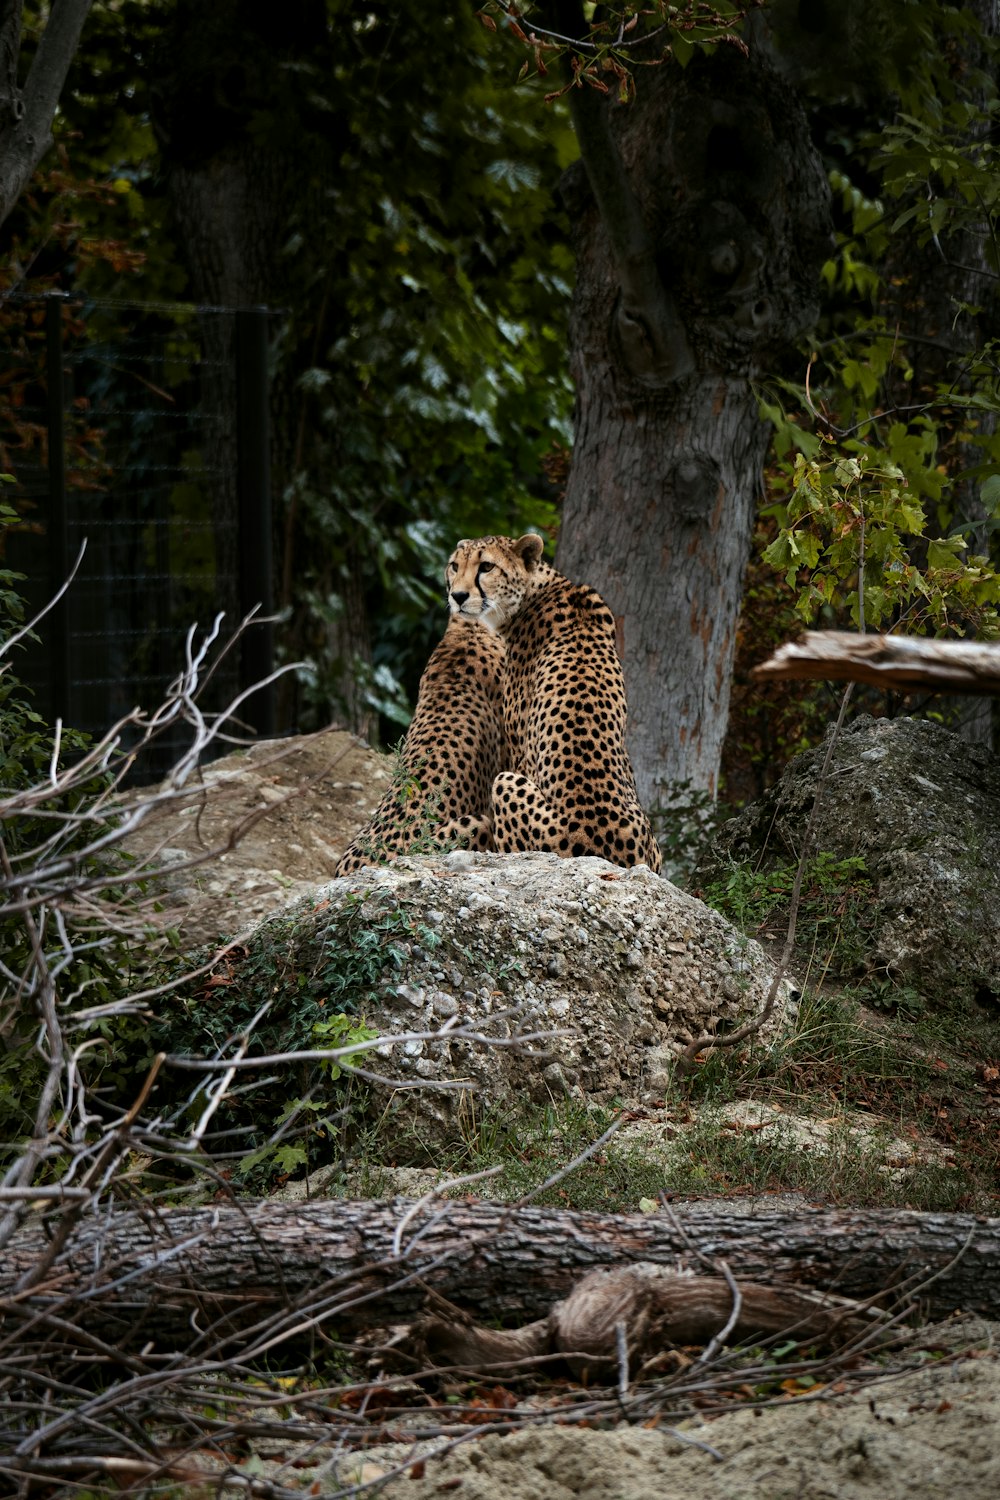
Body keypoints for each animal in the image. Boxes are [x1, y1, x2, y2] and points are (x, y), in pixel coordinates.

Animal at [446, 534, 665, 876]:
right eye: (455, 565)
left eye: (486, 567)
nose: (457, 596)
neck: (537, 590)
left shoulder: (520, 753)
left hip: (507, 784)